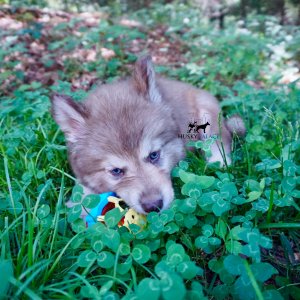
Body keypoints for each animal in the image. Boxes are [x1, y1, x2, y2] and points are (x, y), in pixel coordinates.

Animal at [51, 54, 244, 213]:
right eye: (116, 171)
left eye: (153, 155)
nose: (153, 206)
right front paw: (79, 205)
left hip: (206, 111)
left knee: (220, 140)